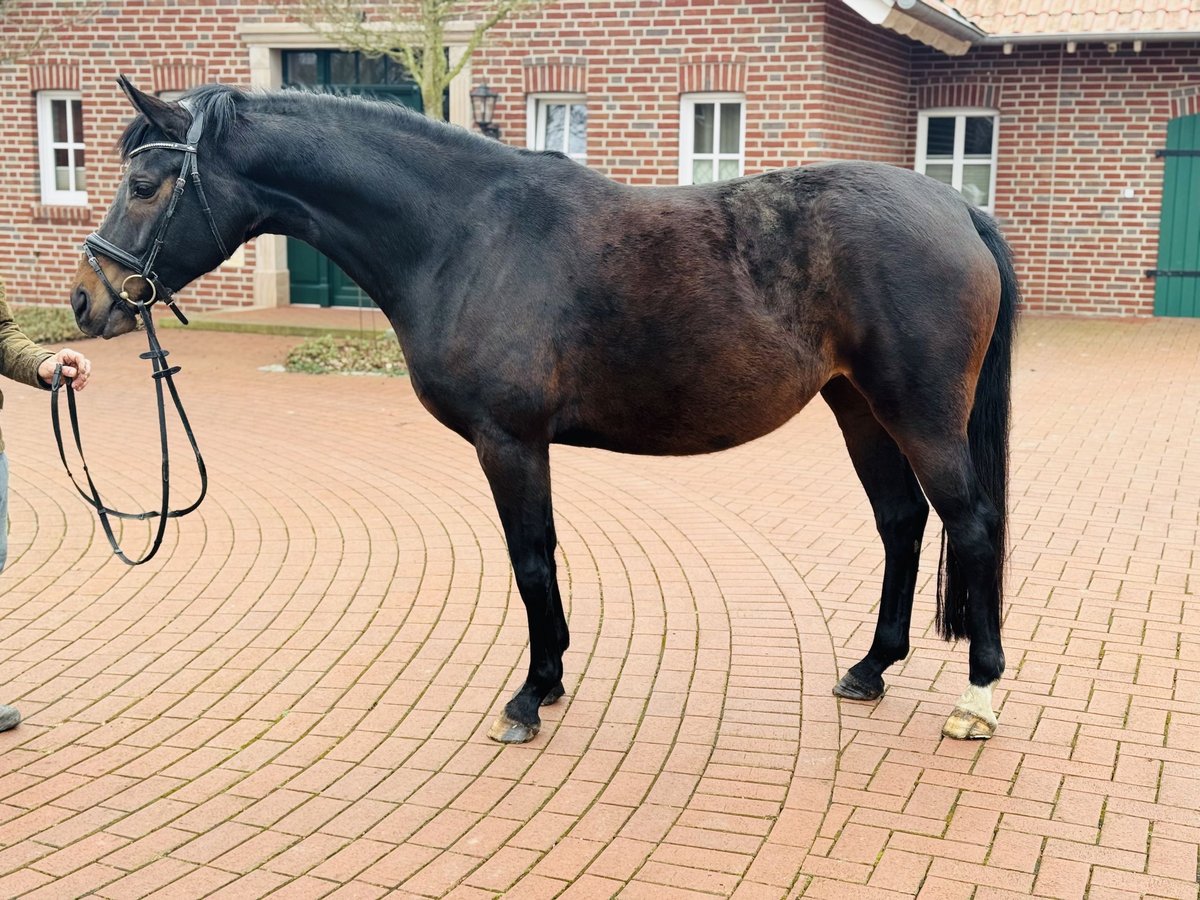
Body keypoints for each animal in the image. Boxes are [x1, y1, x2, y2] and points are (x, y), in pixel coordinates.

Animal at [70, 81, 1017, 748]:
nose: (87, 301)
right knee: (901, 522)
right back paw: (871, 668)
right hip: (857, 406)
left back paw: (978, 696)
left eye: (147, 183)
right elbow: (542, 558)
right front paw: (551, 680)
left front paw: (530, 695)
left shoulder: (509, 441)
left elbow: (530, 559)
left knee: (968, 523)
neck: (462, 236)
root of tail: (958, 207)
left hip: (919, 414)